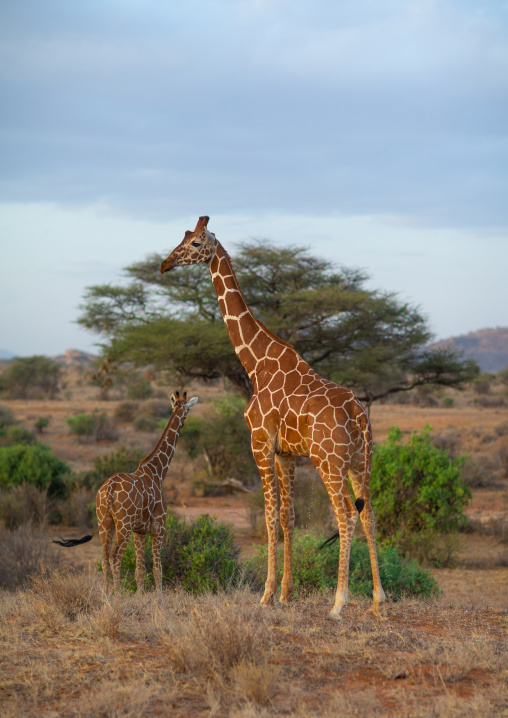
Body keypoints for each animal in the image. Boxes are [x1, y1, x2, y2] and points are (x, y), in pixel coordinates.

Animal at [54, 391, 198, 594]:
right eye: (188, 409)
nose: (184, 422)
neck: (158, 471)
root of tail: (109, 488)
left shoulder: (140, 531)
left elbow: (140, 570)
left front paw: (140, 596)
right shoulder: (159, 527)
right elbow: (157, 569)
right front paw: (158, 598)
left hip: (105, 522)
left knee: (104, 558)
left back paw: (106, 595)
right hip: (124, 524)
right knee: (115, 557)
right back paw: (117, 596)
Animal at [160, 216, 385, 620]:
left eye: (197, 242)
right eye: (183, 237)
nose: (165, 263)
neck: (256, 363)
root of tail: (358, 414)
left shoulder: (260, 444)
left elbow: (268, 516)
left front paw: (265, 594)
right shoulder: (286, 453)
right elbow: (288, 517)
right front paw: (286, 593)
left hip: (330, 462)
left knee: (346, 514)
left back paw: (338, 603)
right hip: (361, 461)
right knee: (369, 512)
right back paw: (378, 600)